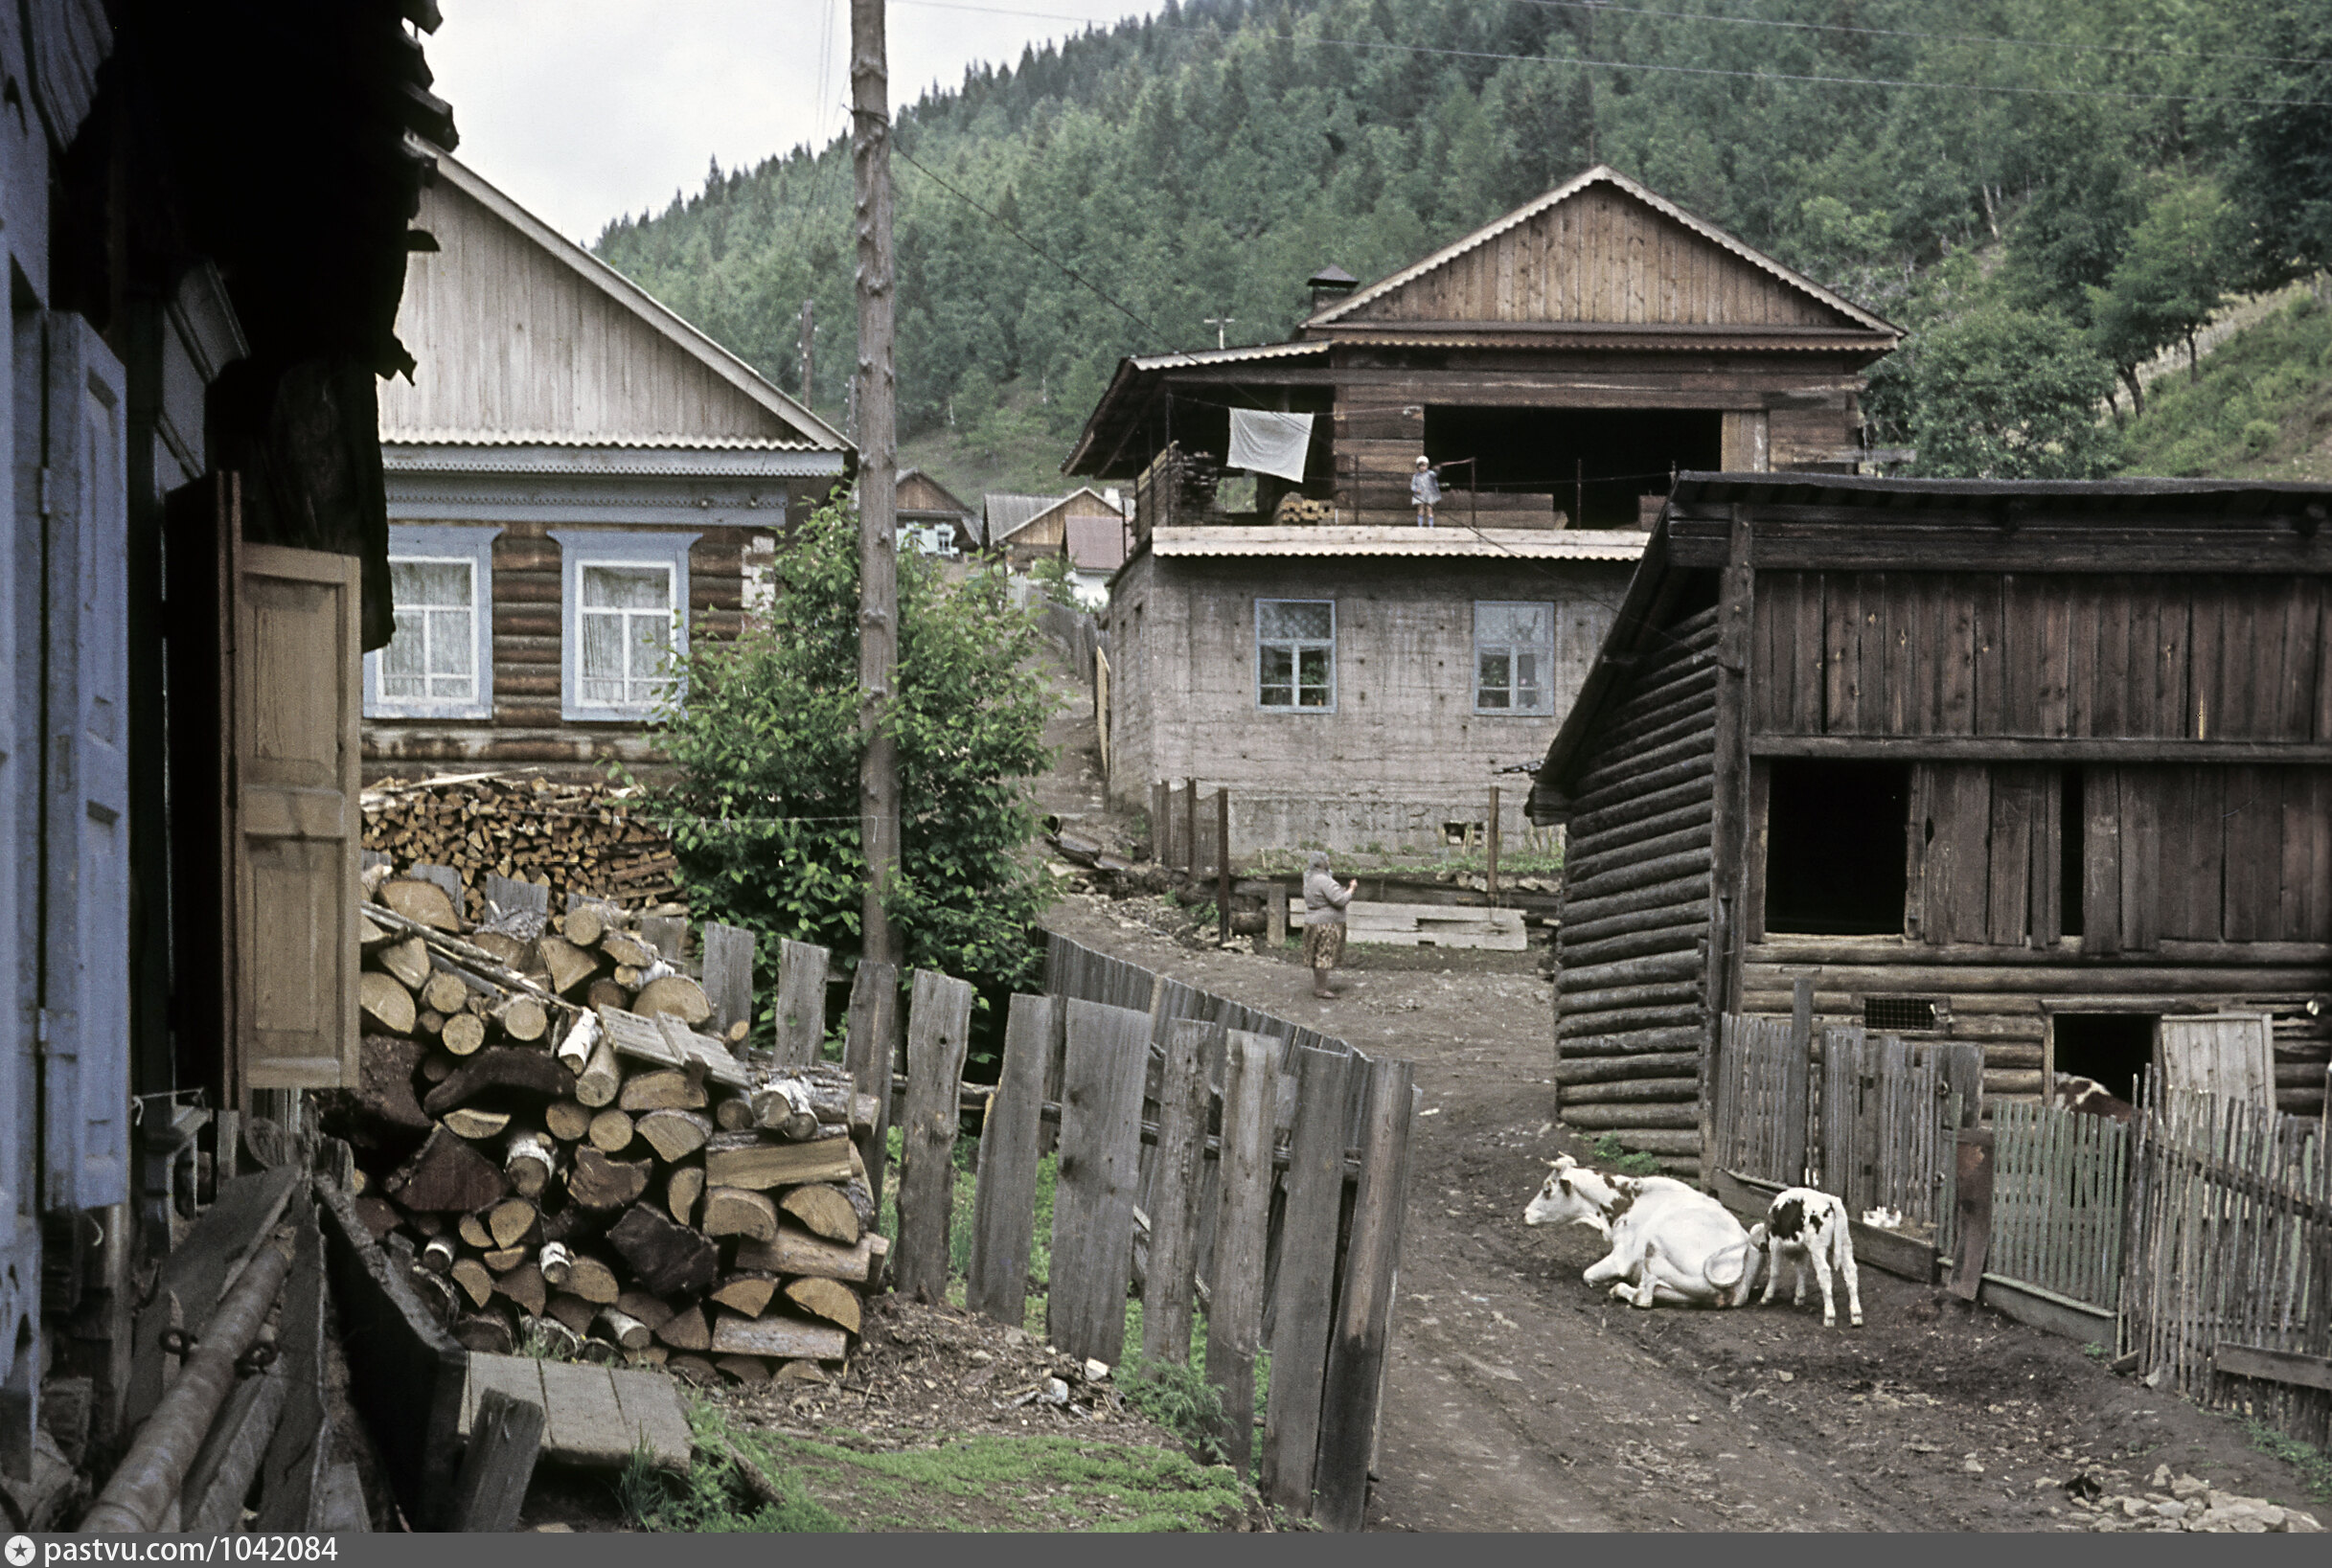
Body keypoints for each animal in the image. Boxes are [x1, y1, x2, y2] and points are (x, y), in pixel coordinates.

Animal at [1520, 1150, 1753, 1305]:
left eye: (1547, 1189)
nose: (1525, 1213)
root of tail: (1742, 1248)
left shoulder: (1621, 1257)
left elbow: (1588, 1274)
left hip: (1654, 1246)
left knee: (1644, 1297)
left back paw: (1619, 1289)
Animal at [1744, 1178, 1865, 1323]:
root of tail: (1829, 1199)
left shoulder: (1776, 1244)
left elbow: (1775, 1271)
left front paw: (1766, 1297)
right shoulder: (1803, 1250)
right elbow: (1801, 1270)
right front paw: (1799, 1297)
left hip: (1817, 1248)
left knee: (1824, 1273)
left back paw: (1829, 1316)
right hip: (1845, 1243)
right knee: (1850, 1271)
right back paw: (1856, 1315)